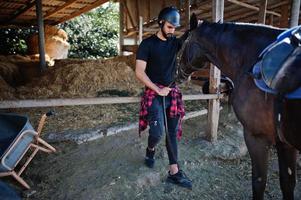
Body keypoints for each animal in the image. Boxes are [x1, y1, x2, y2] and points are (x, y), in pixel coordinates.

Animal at [176, 18, 300, 199]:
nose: (178, 74)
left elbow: (259, 181)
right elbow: (287, 183)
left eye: (183, 44)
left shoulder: (256, 136)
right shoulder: (285, 143)